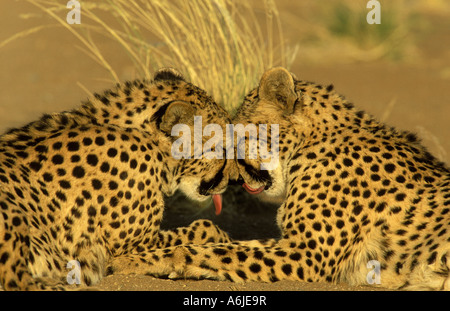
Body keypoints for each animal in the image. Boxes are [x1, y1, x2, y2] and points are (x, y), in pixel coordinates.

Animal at [130, 67, 450, 292]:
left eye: (238, 134)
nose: (232, 177)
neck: (311, 145)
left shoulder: (308, 254)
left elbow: (218, 252)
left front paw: (136, 261)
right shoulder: (293, 243)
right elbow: (235, 245)